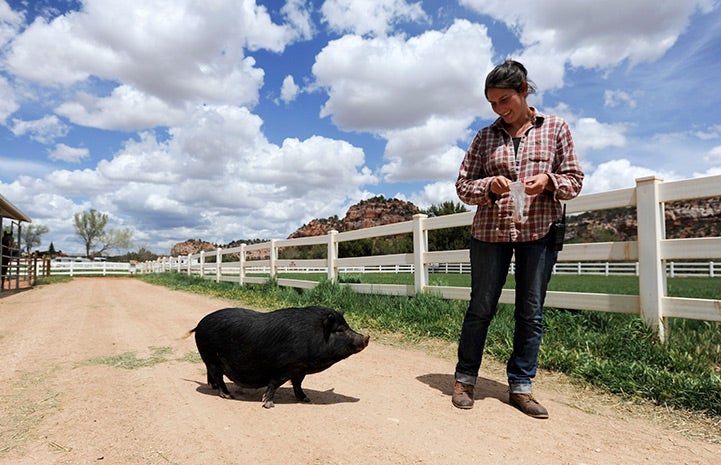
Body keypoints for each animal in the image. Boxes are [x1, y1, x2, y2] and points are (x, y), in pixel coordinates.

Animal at [188, 304, 368, 406]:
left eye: (347, 326)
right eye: (339, 330)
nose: (366, 338)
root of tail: (199, 325)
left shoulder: (299, 369)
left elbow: (298, 384)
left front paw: (306, 399)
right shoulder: (285, 367)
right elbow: (275, 383)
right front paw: (268, 404)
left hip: (209, 359)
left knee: (211, 375)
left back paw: (213, 388)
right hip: (211, 357)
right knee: (218, 376)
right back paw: (228, 395)